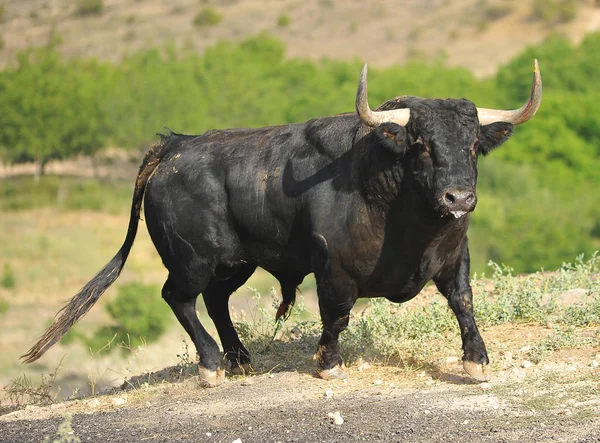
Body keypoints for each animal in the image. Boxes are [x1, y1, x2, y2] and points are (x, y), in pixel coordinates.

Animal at [23, 61, 540, 386]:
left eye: (473, 145)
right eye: (422, 144)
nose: (459, 197)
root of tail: (176, 146)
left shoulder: (454, 255)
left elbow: (463, 302)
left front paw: (476, 361)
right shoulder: (332, 266)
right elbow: (337, 314)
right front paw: (328, 362)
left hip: (236, 262)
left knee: (215, 301)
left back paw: (240, 360)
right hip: (192, 260)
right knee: (180, 298)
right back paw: (212, 366)